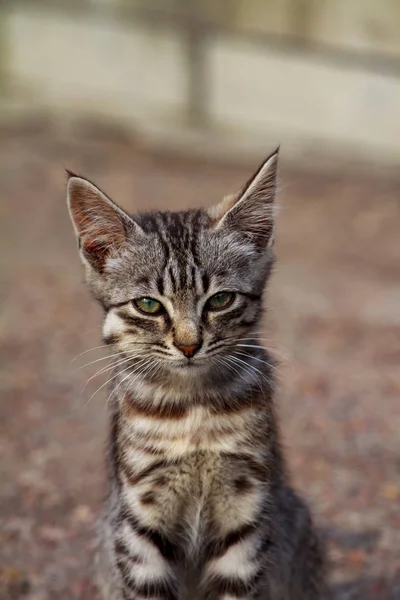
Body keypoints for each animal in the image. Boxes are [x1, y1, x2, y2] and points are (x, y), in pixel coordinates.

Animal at [67, 151, 326, 600]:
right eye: (148, 305)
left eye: (220, 300)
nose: (189, 345)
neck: (194, 409)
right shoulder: (139, 519)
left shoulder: (247, 509)